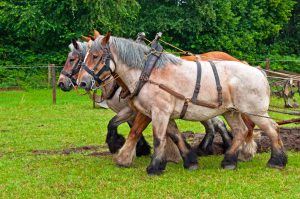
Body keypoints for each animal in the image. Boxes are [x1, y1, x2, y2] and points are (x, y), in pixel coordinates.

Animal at [77, 33, 286, 176]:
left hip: (255, 111)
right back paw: (229, 161)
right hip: (232, 111)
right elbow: (175, 136)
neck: (148, 72)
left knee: (272, 129)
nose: (82, 82)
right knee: (241, 131)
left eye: (95, 56)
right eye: (84, 56)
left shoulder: (159, 112)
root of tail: (258, 71)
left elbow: (158, 138)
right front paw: (190, 161)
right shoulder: (163, 113)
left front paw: (154, 167)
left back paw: (277, 161)